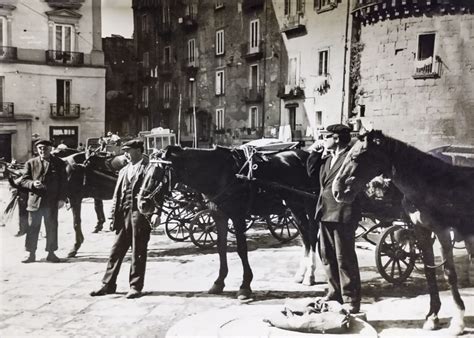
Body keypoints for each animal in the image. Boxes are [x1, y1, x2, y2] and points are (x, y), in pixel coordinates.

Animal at [139, 147, 320, 300]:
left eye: (156, 174)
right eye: (144, 173)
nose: (142, 203)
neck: (220, 173)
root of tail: (306, 154)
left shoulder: (238, 217)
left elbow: (241, 249)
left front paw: (245, 285)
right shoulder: (219, 216)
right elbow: (221, 248)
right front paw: (219, 282)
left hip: (310, 206)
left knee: (312, 236)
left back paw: (310, 275)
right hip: (294, 206)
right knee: (305, 237)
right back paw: (301, 274)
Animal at [332, 129, 474, 336]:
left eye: (355, 156)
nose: (337, 190)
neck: (429, 185)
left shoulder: (443, 232)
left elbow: (449, 274)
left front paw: (458, 322)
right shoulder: (422, 231)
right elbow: (429, 272)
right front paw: (432, 317)